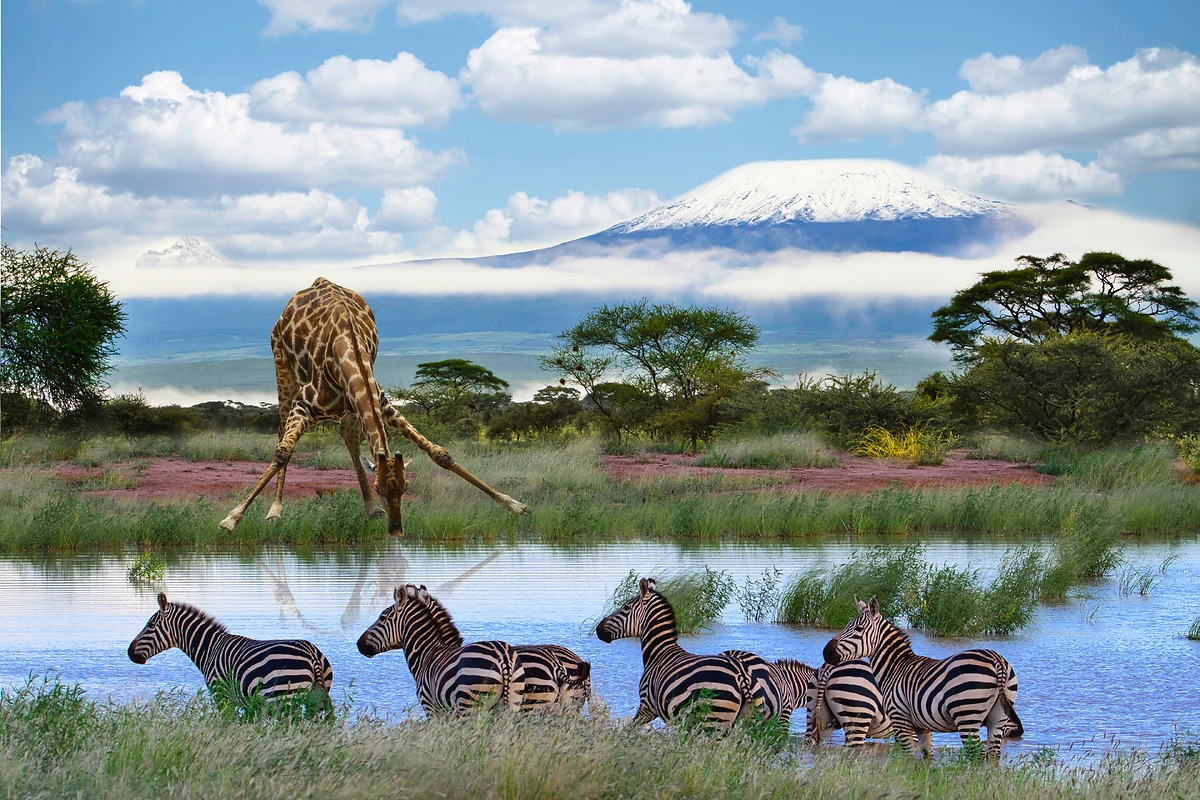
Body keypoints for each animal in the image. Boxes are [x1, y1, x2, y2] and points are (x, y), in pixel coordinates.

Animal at [219, 278, 527, 535]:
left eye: (405, 487)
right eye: (379, 487)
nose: (396, 530)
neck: (347, 348)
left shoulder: (382, 404)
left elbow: (440, 454)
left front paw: (514, 504)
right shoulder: (304, 405)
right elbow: (283, 451)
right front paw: (233, 518)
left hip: (350, 409)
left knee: (350, 438)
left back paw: (369, 508)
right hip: (283, 369)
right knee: (282, 431)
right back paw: (275, 510)